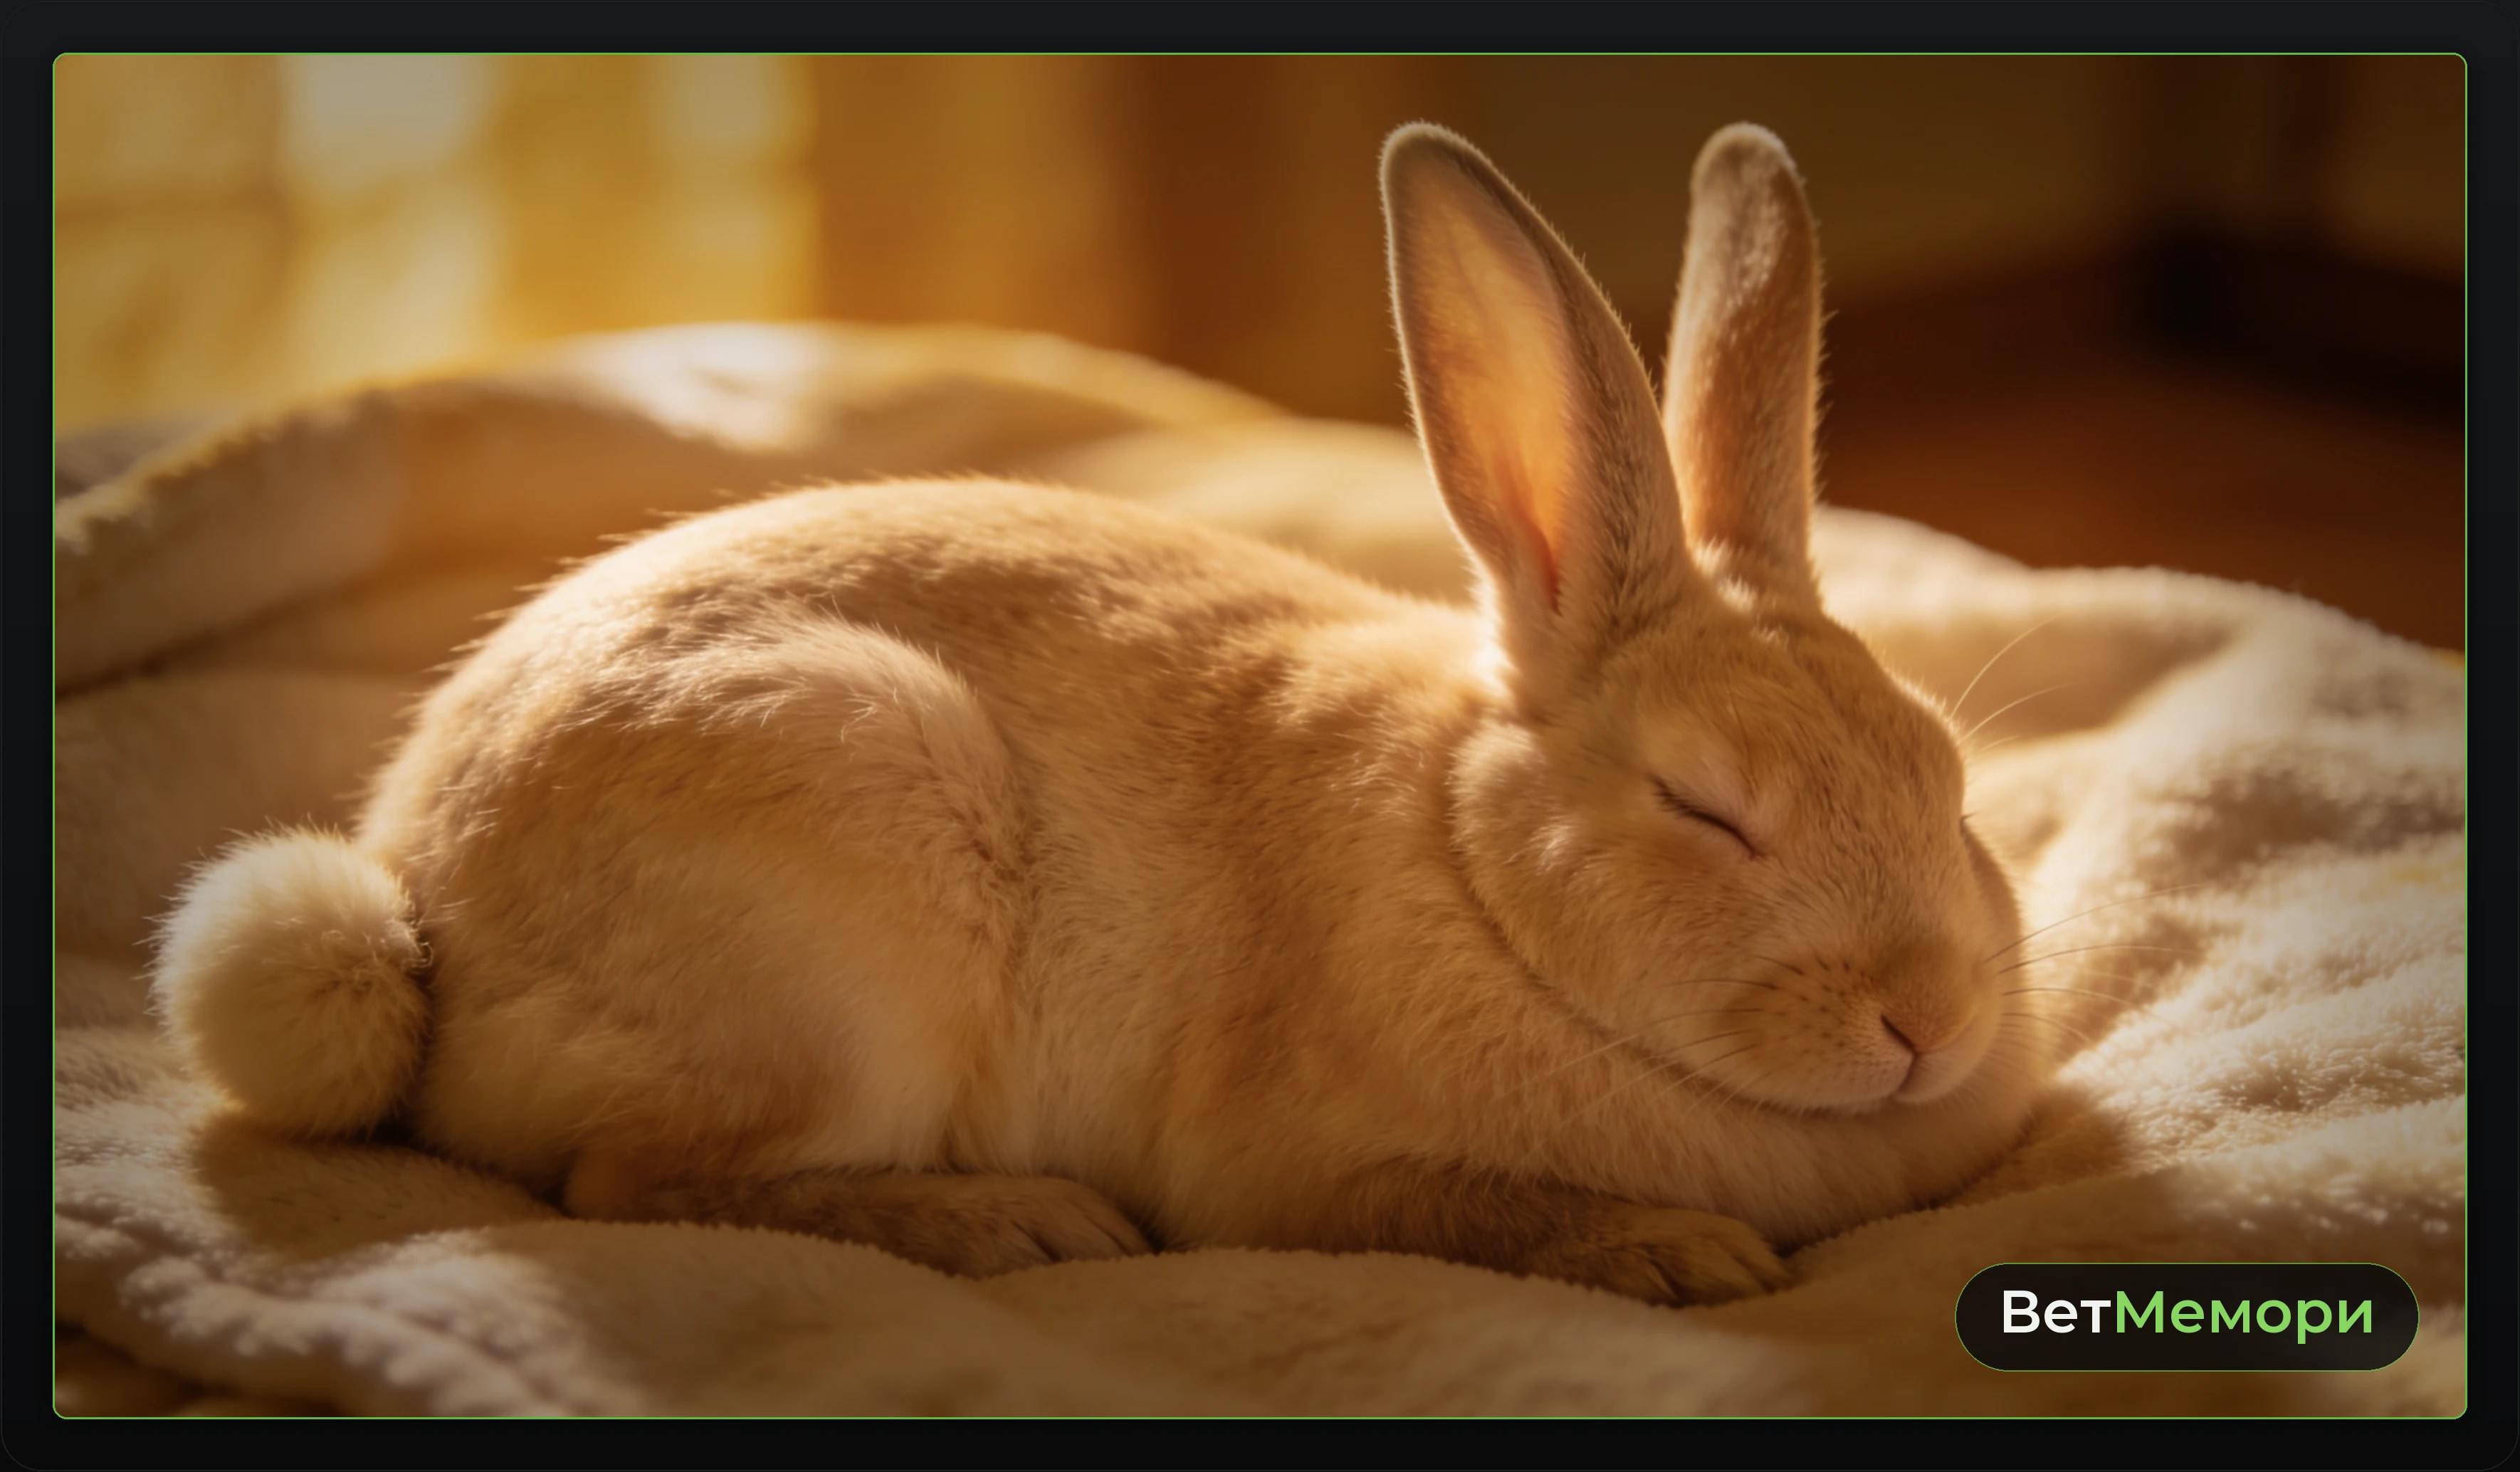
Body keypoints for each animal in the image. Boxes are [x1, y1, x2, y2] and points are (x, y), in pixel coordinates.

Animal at [149, 122, 2057, 1307]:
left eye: (1948, 778)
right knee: (637, 1183)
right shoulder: (1307, 1180)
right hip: (850, 888)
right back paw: (1026, 1224)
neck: (1480, 867)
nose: (1929, 1021)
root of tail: (418, 927)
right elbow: (1463, 1212)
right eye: (1703, 807)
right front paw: (1678, 1256)